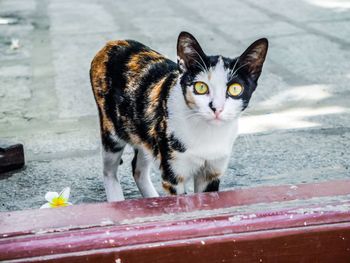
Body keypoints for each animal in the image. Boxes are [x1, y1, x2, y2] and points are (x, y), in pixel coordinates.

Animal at [90, 32, 268, 203]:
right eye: (201, 87)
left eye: (235, 89)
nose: (216, 108)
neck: (207, 135)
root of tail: (113, 43)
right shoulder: (173, 175)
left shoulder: (212, 171)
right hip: (112, 130)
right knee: (109, 170)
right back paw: (117, 202)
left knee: (138, 167)